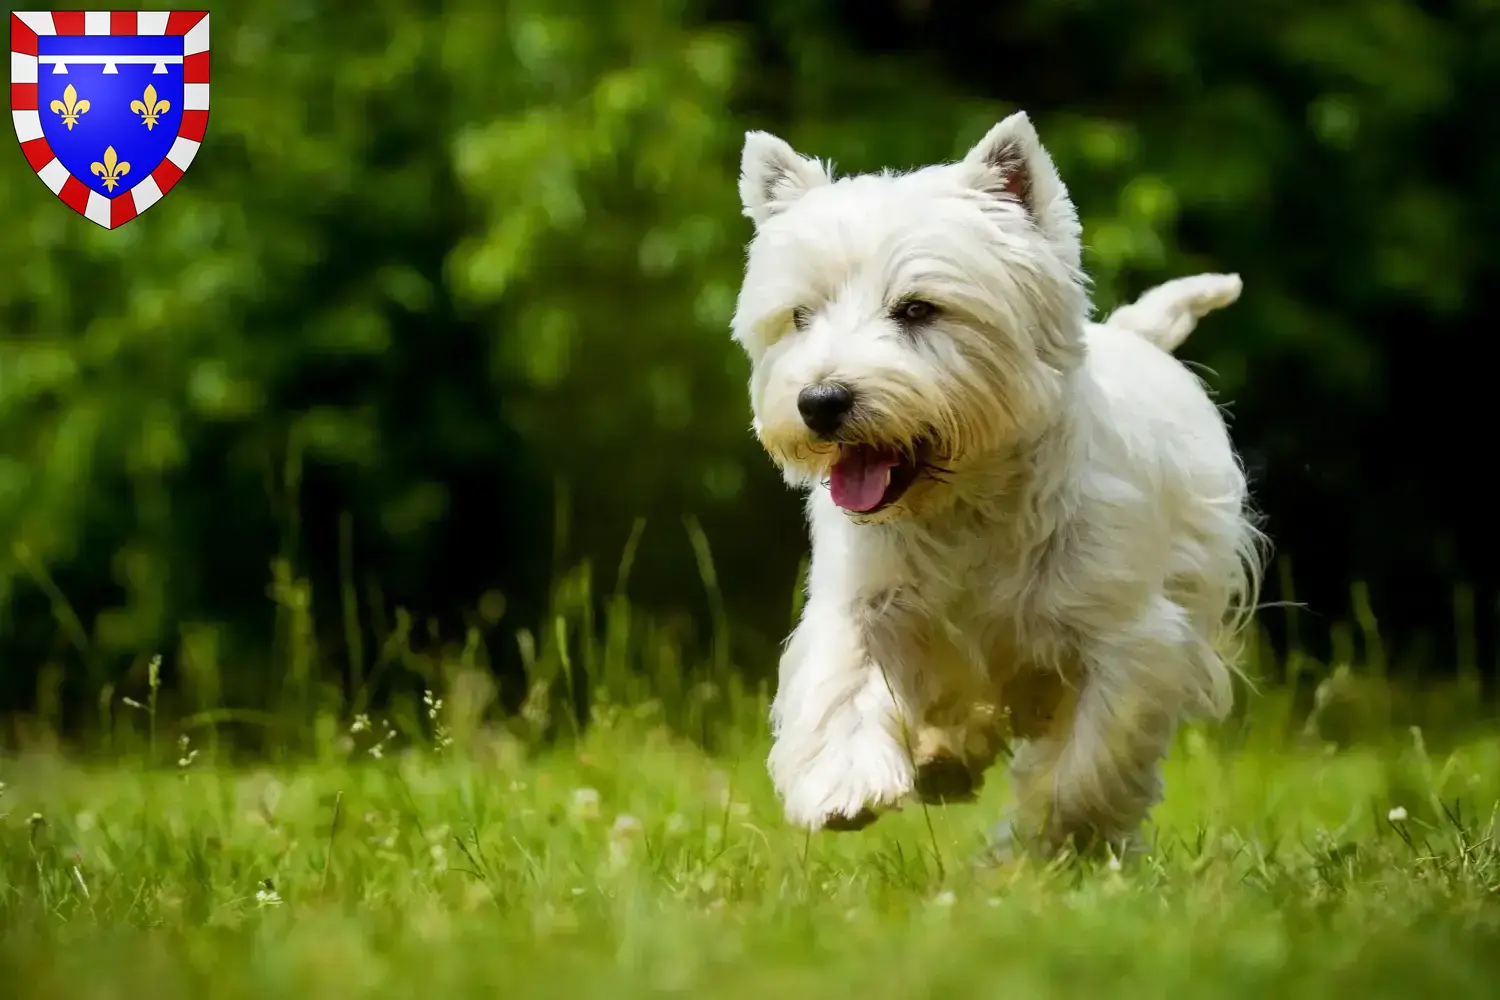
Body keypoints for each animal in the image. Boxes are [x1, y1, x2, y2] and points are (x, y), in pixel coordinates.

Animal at [726, 111, 1266, 863]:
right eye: (801, 316)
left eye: (918, 310)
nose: (821, 401)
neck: (965, 504)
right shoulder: (866, 599)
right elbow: (844, 679)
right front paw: (845, 787)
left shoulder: (1128, 636)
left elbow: (1089, 762)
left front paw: (1047, 844)